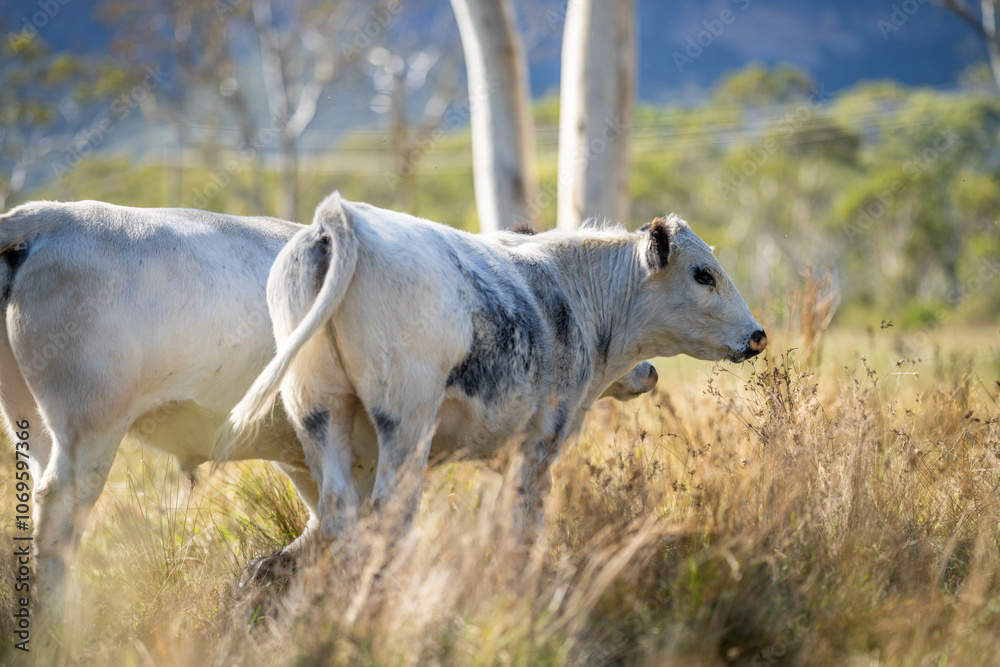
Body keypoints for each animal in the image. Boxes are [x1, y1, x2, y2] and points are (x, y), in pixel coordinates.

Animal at [0, 199, 657, 617]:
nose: (648, 370)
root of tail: (48, 217)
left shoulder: (317, 453)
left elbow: (317, 535)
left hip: (37, 432)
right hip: (90, 428)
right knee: (62, 515)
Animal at [224, 193, 767, 564]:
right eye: (703, 274)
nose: (758, 335)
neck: (571, 288)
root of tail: (339, 219)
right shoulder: (542, 438)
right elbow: (525, 523)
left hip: (318, 410)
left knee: (339, 514)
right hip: (406, 422)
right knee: (390, 514)